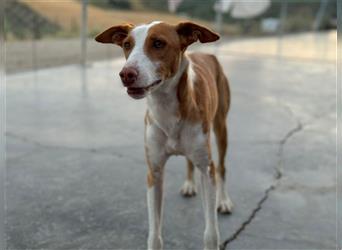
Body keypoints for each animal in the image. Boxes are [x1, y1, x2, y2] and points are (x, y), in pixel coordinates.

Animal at [95, 20, 232, 249]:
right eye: (127, 44)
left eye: (158, 43)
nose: (126, 74)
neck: (167, 109)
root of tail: (206, 54)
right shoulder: (155, 172)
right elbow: (155, 234)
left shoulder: (206, 169)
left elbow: (211, 233)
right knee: (189, 161)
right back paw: (189, 184)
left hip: (221, 128)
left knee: (221, 168)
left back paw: (224, 201)